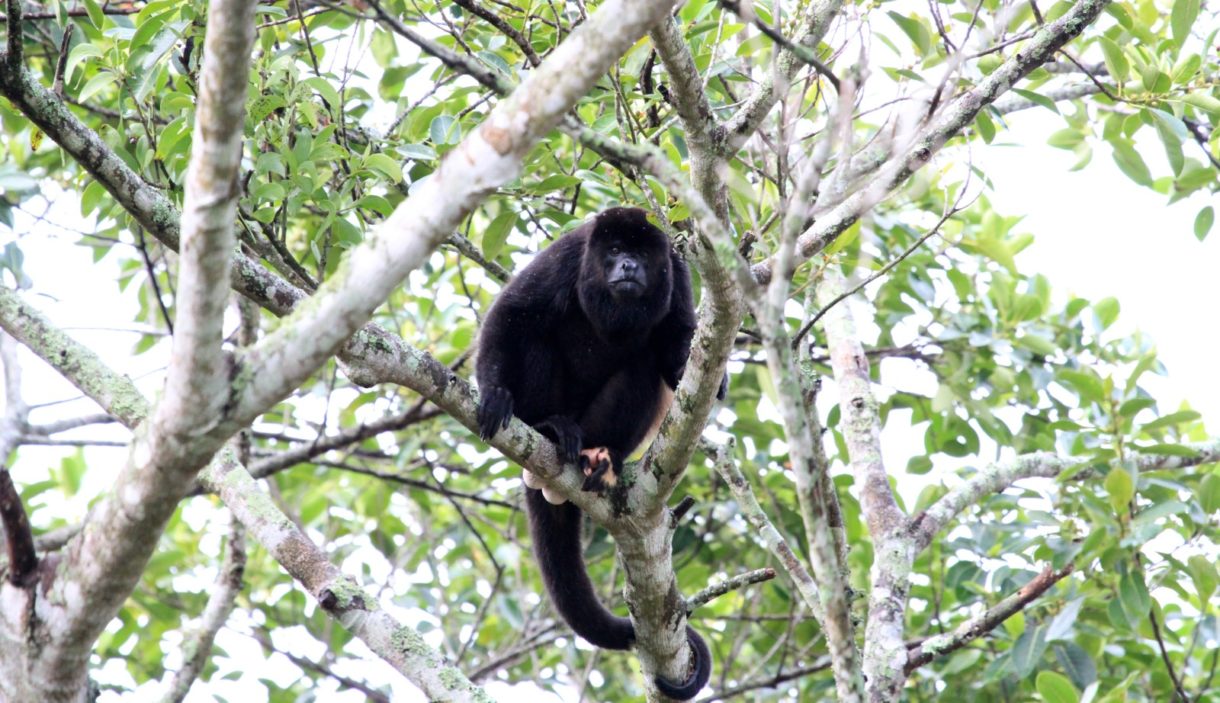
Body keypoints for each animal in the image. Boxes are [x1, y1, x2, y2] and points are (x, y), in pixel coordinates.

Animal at [473, 206, 712, 698]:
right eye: (615, 250)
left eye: (642, 254)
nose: (628, 266)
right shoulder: (568, 255)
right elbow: (512, 313)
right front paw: (493, 393)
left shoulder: (678, 275)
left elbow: (674, 344)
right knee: (535, 337)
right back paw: (548, 426)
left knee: (642, 363)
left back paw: (602, 456)